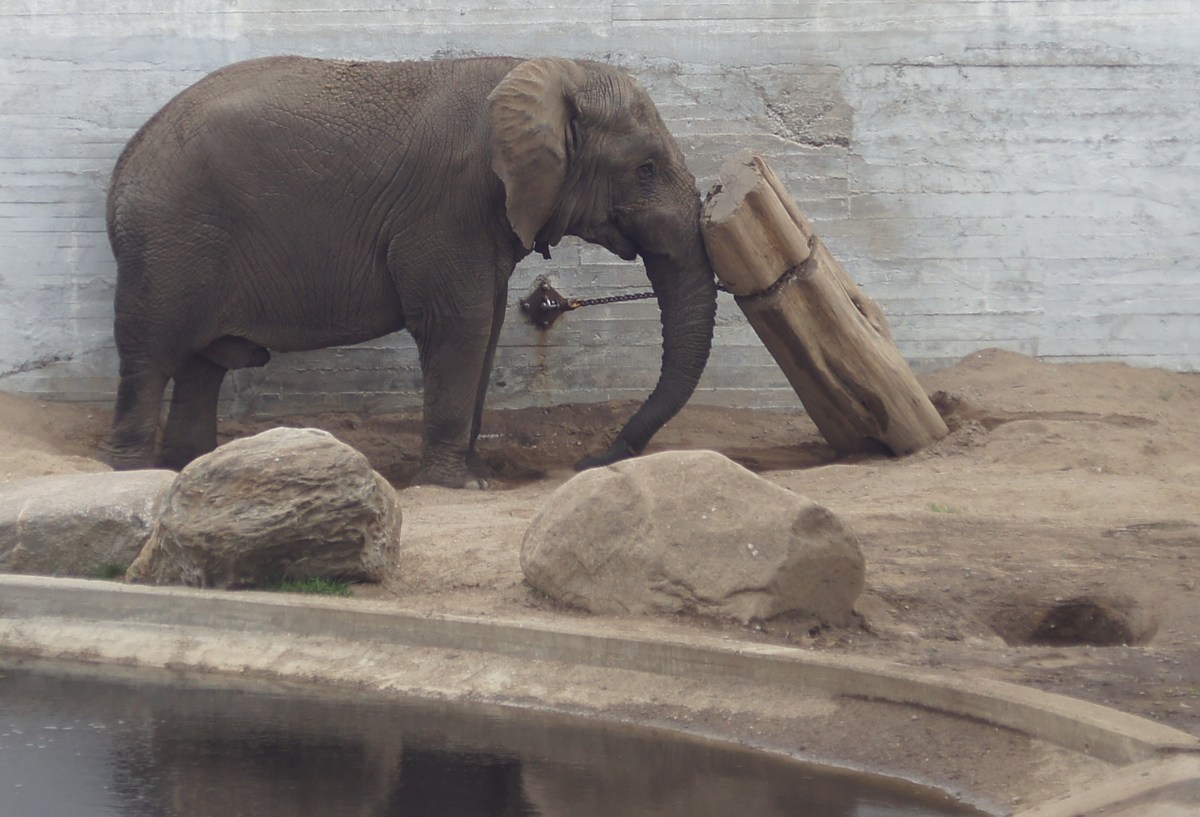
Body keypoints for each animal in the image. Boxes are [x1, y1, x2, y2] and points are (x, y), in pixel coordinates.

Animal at [101, 55, 719, 488]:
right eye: (645, 169)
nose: (591, 460)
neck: (538, 71)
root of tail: (128, 157)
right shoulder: (449, 207)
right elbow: (460, 323)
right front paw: (459, 484)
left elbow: (489, 324)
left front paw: (477, 474)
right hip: (168, 244)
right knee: (150, 356)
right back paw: (134, 472)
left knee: (200, 367)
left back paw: (189, 465)